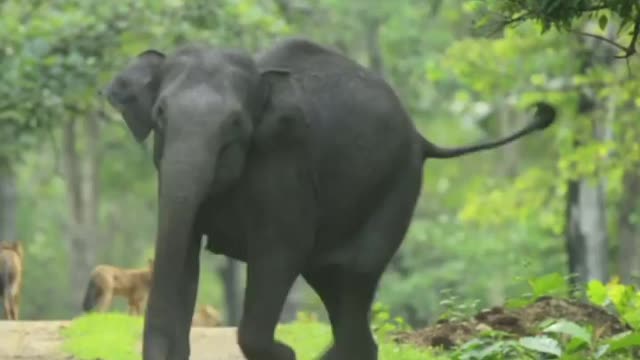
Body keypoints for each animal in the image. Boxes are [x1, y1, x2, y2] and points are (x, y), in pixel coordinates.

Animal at [101, 37, 556, 360]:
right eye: (160, 114)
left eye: (235, 124)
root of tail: (421, 138)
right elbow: (182, 255)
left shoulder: (285, 164)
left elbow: (280, 251)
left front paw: (285, 353)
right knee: (334, 282)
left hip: (397, 186)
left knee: (352, 277)